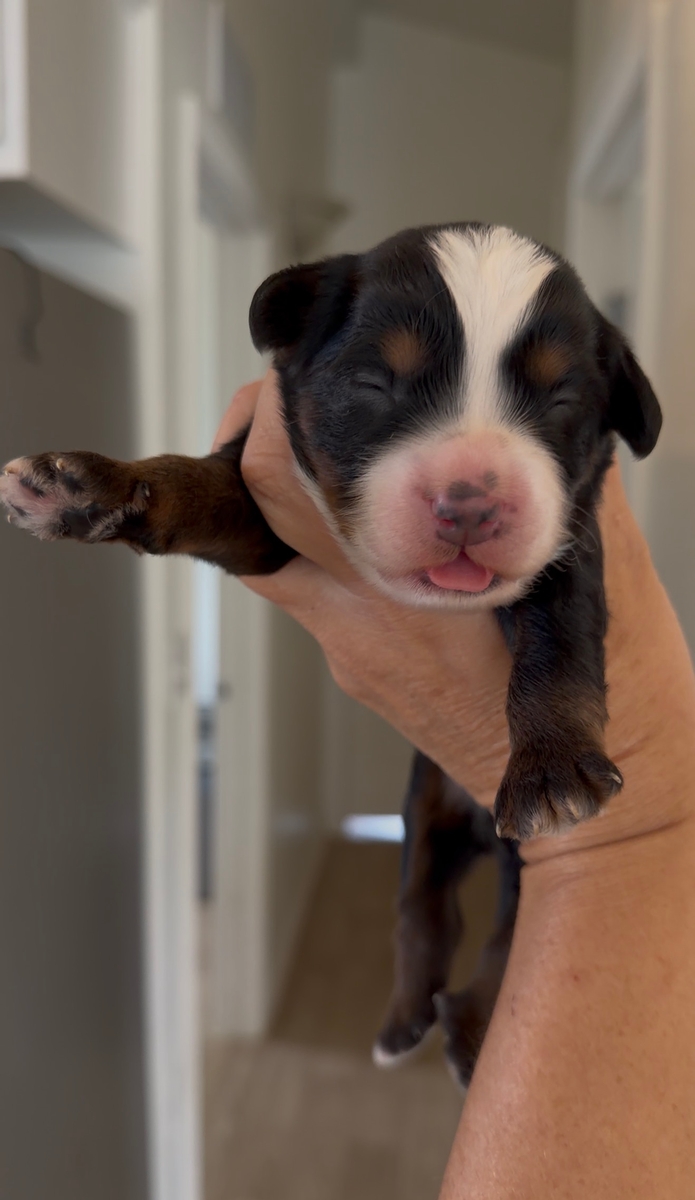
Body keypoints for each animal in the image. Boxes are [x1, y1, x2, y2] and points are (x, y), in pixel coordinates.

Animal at [0, 223, 661, 1087]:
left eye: (560, 401)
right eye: (375, 382)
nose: (470, 502)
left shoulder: (569, 536)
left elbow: (558, 639)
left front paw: (552, 767)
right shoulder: (267, 508)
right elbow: (194, 486)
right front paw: (91, 486)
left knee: (503, 934)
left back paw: (469, 1029)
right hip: (424, 813)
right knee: (424, 913)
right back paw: (407, 1024)